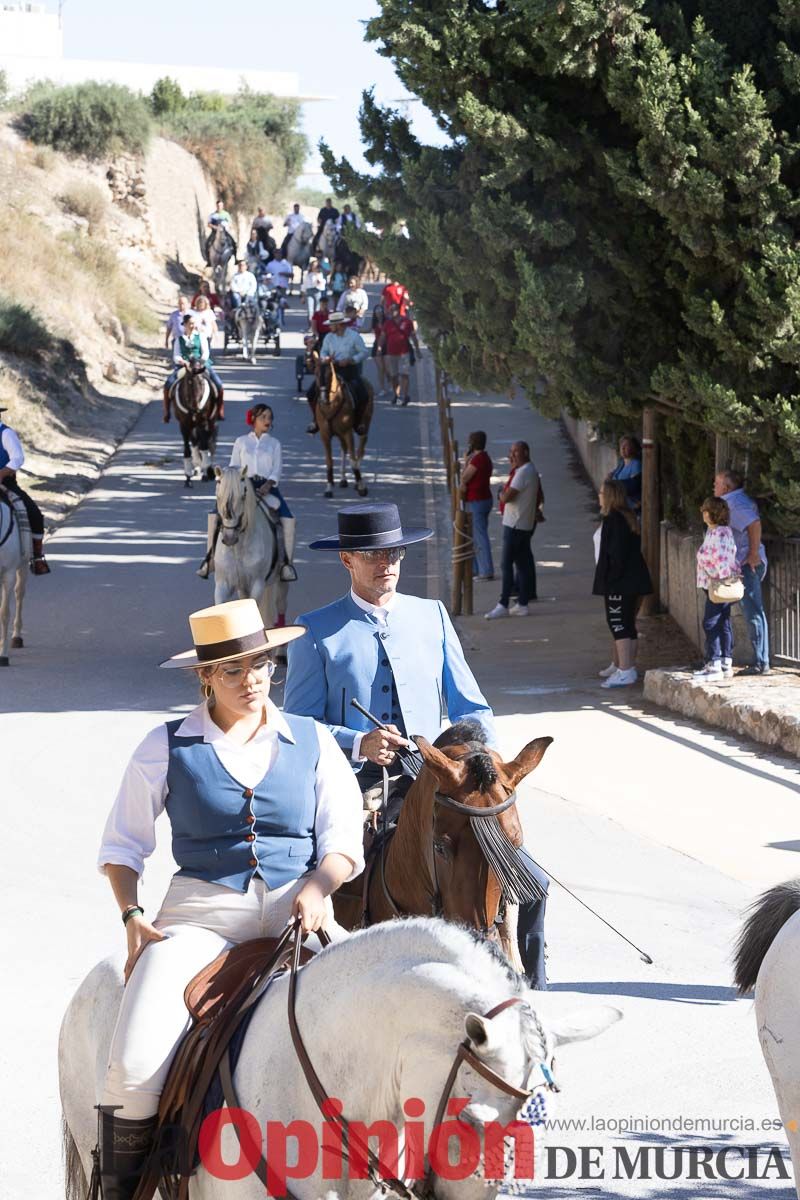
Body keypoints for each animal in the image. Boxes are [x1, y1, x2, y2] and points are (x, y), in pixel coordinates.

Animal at [212, 463, 287, 628]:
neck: (238, 548)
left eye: (243, 495)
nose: (229, 538)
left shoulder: (257, 584)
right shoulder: (223, 584)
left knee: (280, 601)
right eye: (218, 496)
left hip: (279, 581)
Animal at [314, 350, 374, 496]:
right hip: (341, 434)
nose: (323, 399)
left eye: (330, 374)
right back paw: (343, 479)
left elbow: (353, 459)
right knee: (343, 449)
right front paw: (329, 487)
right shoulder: (325, 435)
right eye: (315, 373)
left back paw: (356, 482)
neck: (331, 405)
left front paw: (361, 486)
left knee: (360, 449)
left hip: (364, 426)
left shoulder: (348, 432)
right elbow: (329, 461)